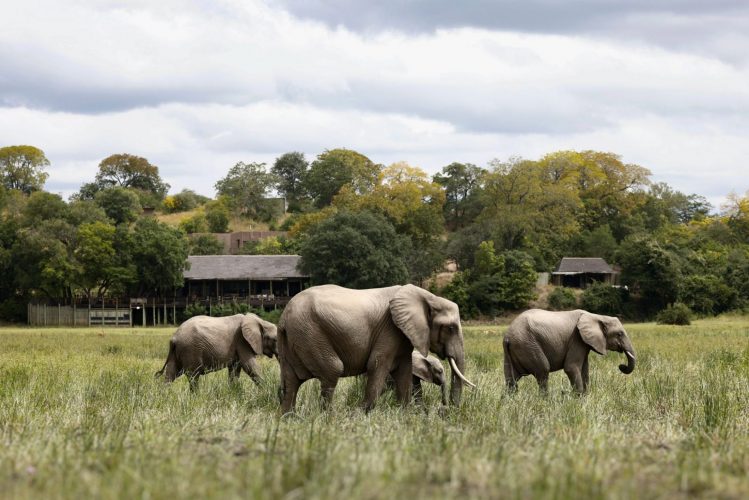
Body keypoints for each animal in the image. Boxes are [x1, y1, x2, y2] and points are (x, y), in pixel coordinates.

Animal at [274, 284, 474, 412]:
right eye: (450, 328)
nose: (445, 410)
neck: (428, 297)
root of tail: (283, 317)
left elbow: (404, 373)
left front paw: (405, 415)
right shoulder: (389, 330)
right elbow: (377, 365)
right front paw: (361, 414)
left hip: (295, 339)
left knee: (291, 382)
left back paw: (288, 418)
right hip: (310, 333)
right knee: (332, 370)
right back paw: (328, 419)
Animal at [502, 308, 636, 394]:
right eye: (619, 334)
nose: (621, 366)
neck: (597, 316)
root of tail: (508, 336)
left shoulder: (584, 343)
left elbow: (584, 369)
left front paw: (586, 397)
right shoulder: (576, 339)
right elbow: (571, 367)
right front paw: (579, 399)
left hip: (515, 349)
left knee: (511, 379)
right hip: (528, 345)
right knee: (543, 371)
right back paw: (545, 401)